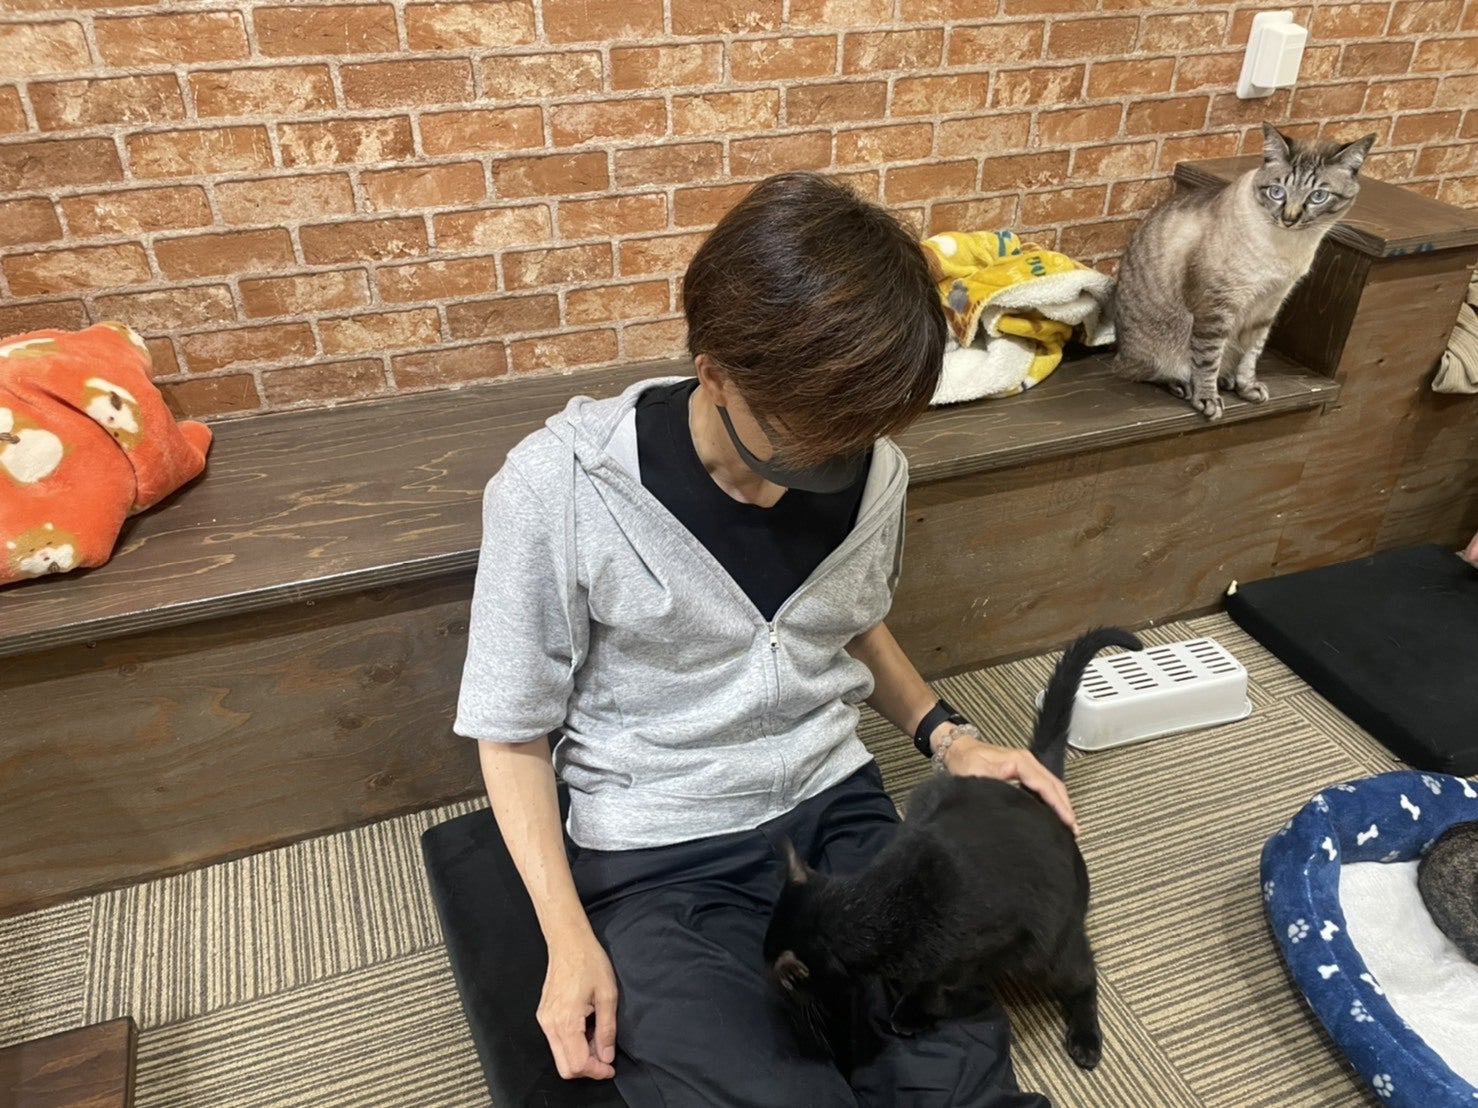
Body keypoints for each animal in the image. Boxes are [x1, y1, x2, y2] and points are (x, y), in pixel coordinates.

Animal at [764, 626, 1144, 1071]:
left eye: (787, 982)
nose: (775, 989)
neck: (874, 904)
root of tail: (1035, 796)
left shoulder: (979, 949)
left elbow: (937, 986)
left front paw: (911, 1011)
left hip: (1053, 947)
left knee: (1084, 976)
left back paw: (1086, 1037)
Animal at [1112, 123, 1376, 420]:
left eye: (1318, 196)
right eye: (1277, 192)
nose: (1289, 218)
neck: (1286, 247)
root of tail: (1120, 353)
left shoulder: (1267, 305)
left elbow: (1251, 354)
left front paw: (1247, 388)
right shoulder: (1216, 308)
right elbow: (1207, 360)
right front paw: (1208, 400)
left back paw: (1226, 381)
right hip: (1157, 346)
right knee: (1148, 371)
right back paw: (1184, 386)